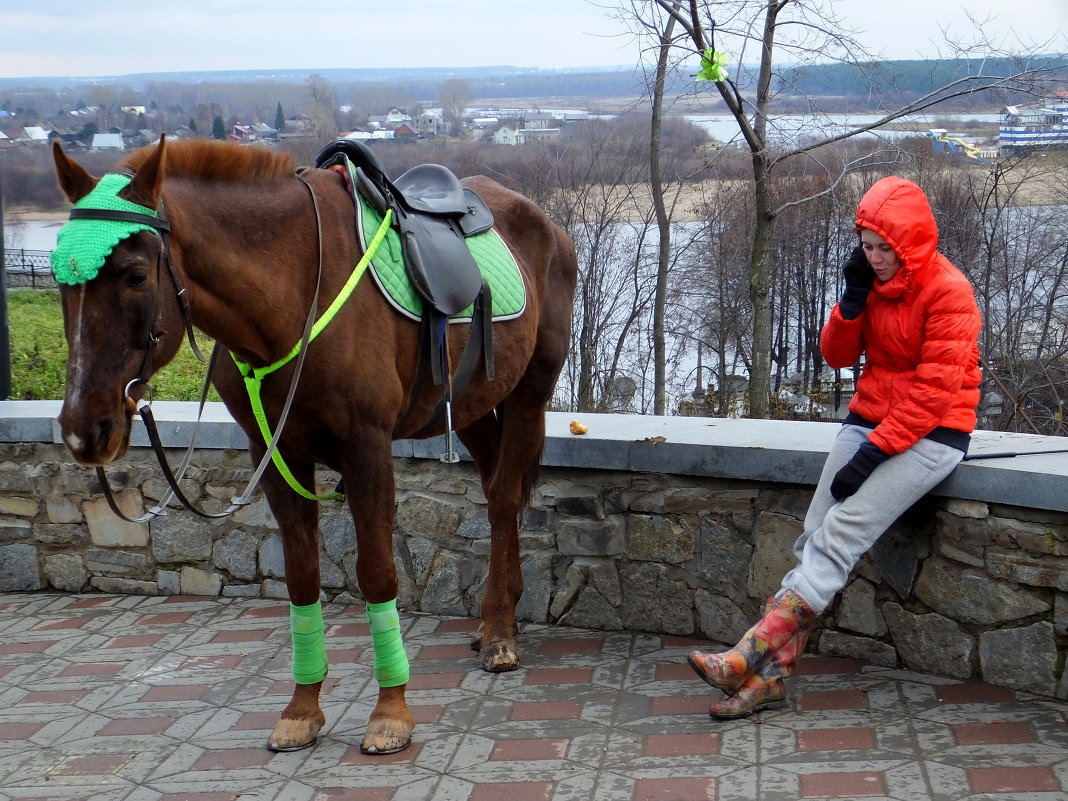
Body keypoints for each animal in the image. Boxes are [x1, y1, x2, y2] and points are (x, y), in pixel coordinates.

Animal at [52, 137, 576, 760]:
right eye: (59, 279)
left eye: (134, 275)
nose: (85, 428)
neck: (295, 288)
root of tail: (542, 220)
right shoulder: (276, 455)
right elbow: (302, 576)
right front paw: (302, 708)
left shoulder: (367, 450)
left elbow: (378, 574)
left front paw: (391, 711)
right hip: (470, 400)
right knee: (499, 485)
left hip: (529, 394)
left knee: (501, 501)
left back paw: (498, 629)